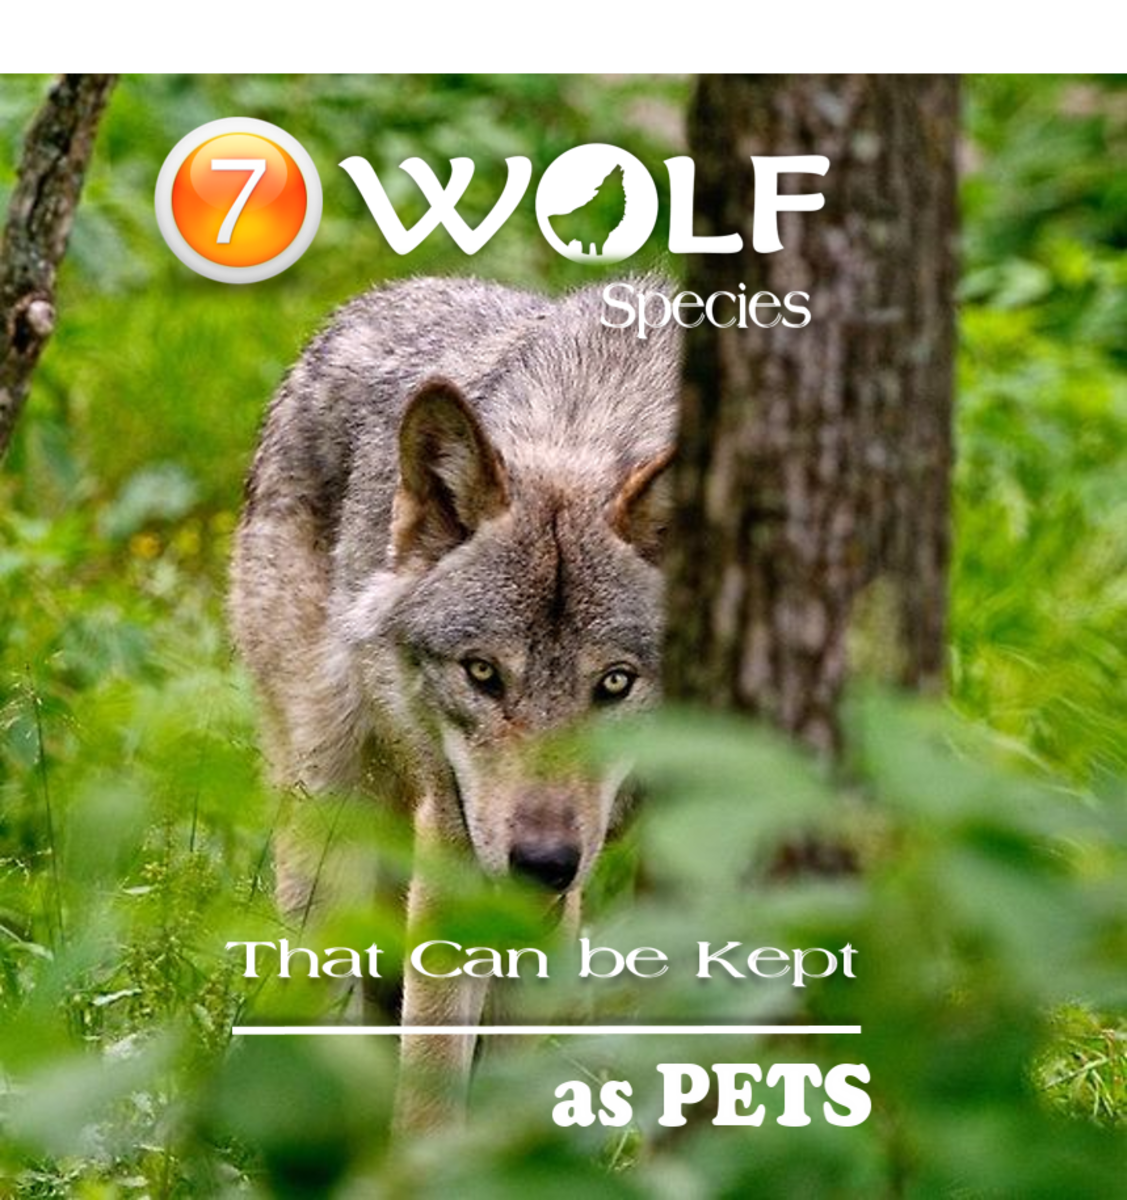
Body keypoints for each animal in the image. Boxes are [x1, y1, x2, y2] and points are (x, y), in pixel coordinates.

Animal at [229, 275, 679, 1130]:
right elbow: (431, 1081)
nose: (542, 862)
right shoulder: (459, 839)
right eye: (481, 674)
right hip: (332, 829)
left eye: (614, 682)